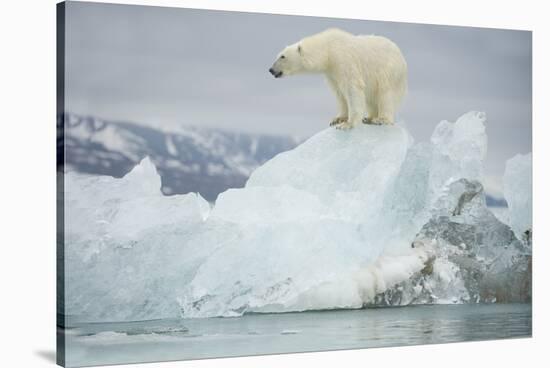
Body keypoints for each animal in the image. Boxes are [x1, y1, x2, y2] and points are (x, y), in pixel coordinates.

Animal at [270, 27, 408, 129]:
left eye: (282, 56)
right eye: (278, 55)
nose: (271, 70)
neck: (328, 50)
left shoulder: (344, 60)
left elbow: (352, 89)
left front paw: (348, 124)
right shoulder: (332, 72)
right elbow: (339, 93)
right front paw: (338, 119)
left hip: (389, 71)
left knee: (385, 94)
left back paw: (381, 119)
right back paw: (369, 117)